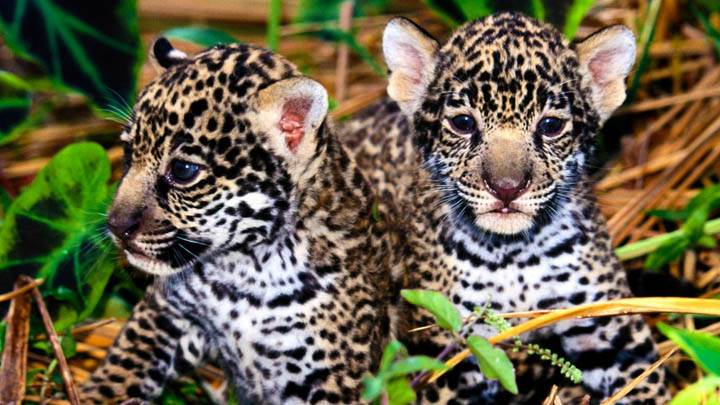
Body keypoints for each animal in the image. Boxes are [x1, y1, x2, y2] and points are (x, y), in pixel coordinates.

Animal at [80, 38, 398, 404]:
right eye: (129, 152)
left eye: (183, 171)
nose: (116, 226)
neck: (243, 272)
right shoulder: (165, 313)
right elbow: (122, 367)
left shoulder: (333, 379)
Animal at [341, 12, 668, 404]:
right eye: (463, 123)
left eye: (550, 125)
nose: (507, 188)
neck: (513, 256)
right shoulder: (448, 346)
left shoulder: (610, 323)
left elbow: (648, 385)